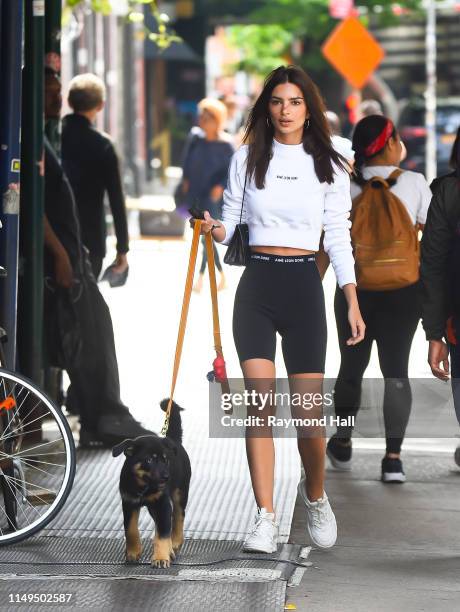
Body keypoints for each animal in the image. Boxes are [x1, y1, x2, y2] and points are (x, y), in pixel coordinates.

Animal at [112, 400, 191, 568]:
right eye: (149, 460)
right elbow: (130, 529)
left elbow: (162, 534)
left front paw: (160, 558)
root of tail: (173, 440)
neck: (144, 487)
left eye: (166, 460)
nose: (166, 477)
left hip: (180, 492)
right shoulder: (129, 503)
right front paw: (133, 552)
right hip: (154, 506)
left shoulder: (162, 504)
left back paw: (175, 542)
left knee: (178, 516)